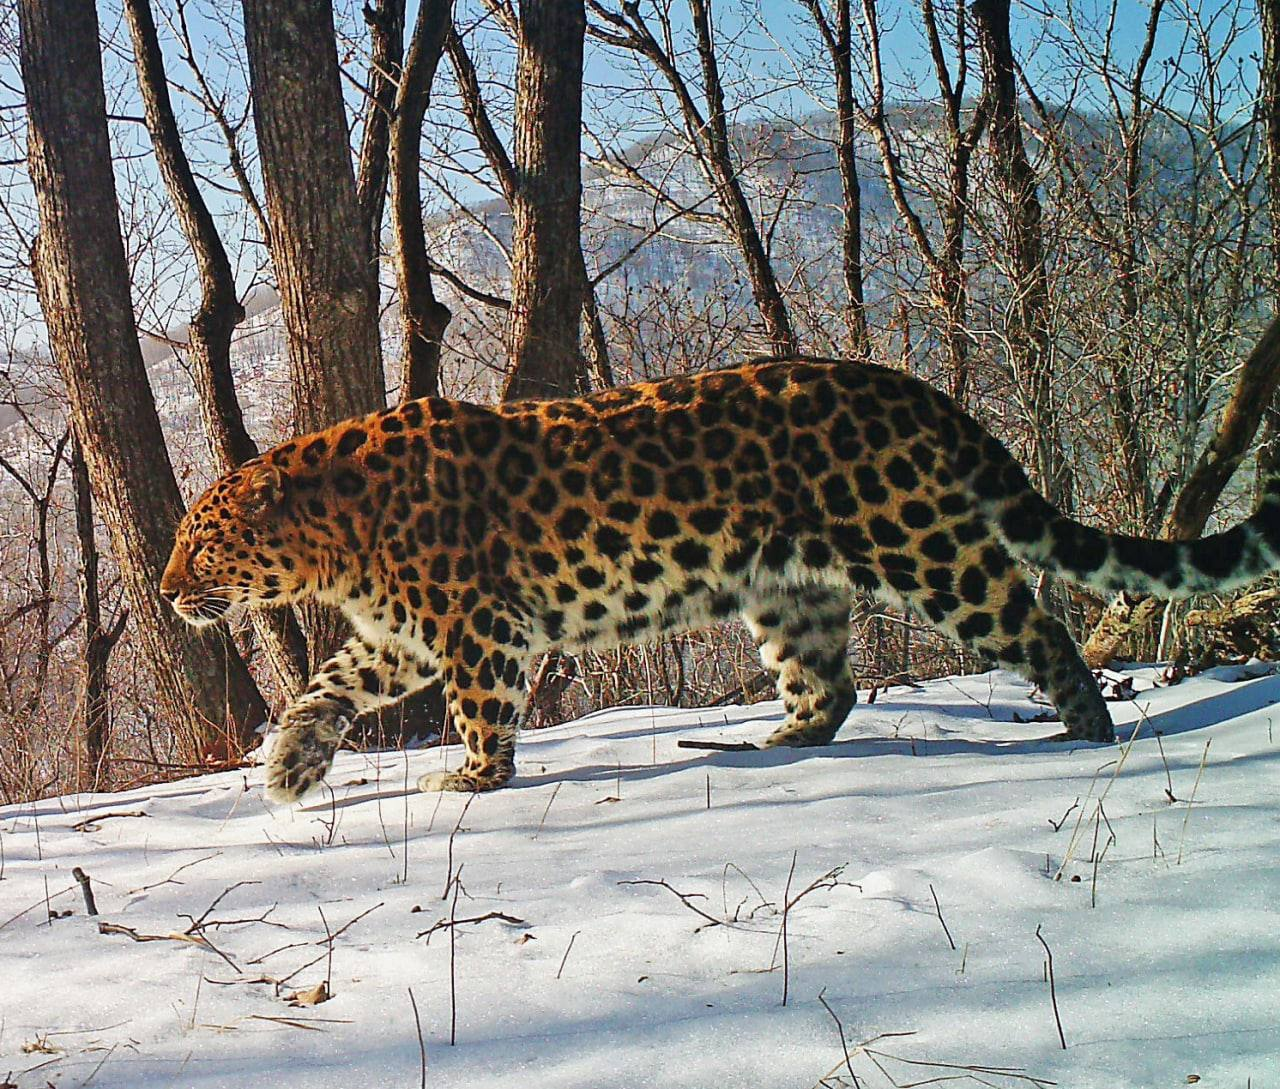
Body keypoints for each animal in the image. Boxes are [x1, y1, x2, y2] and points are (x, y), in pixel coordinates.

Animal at [160, 360, 1280, 803]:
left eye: (200, 545)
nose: (167, 590)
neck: (332, 534)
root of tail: (918, 391)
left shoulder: (477, 625)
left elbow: (479, 711)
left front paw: (473, 779)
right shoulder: (397, 633)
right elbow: (324, 687)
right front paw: (291, 768)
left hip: (921, 545)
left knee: (1037, 625)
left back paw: (1084, 733)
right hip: (790, 591)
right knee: (830, 685)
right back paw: (775, 744)